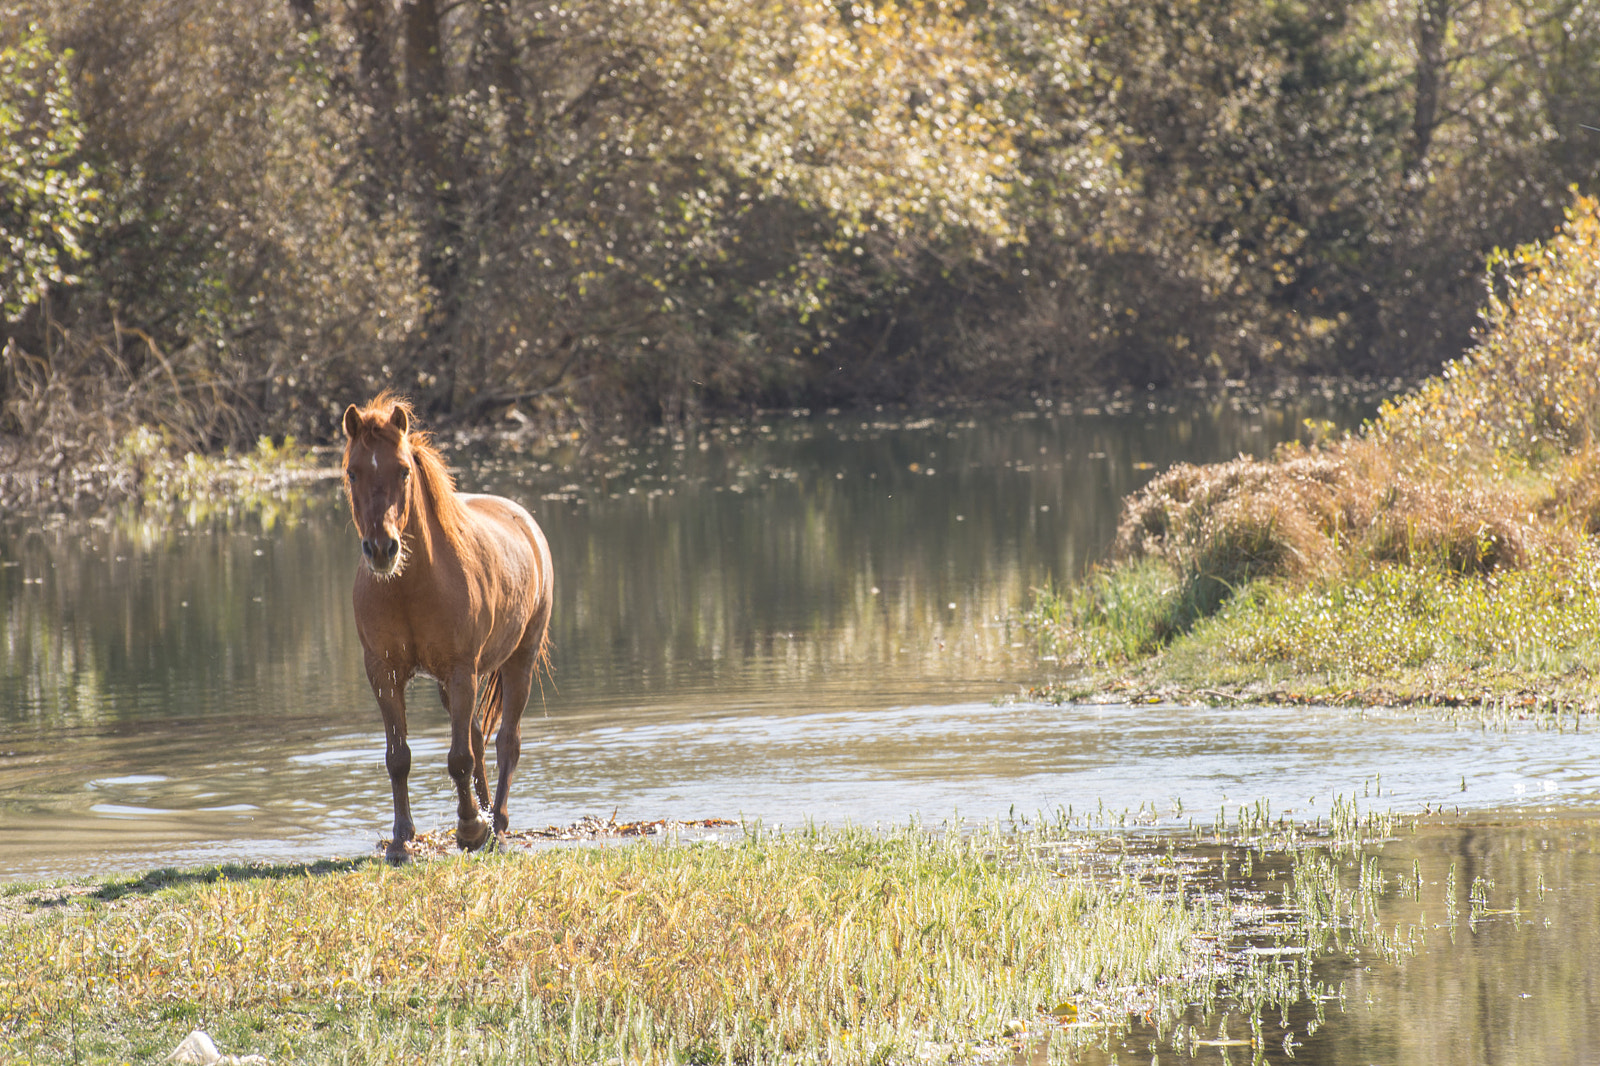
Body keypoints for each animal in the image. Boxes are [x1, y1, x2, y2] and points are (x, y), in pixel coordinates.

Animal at [341, 391, 553, 863]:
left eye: (403, 469)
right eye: (352, 471)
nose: (381, 548)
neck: (411, 586)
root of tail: (525, 519)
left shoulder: (461, 670)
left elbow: (459, 758)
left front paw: (471, 829)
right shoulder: (383, 673)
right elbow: (399, 757)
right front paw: (402, 841)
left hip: (519, 661)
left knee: (506, 741)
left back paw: (498, 826)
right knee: (477, 737)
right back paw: (488, 818)